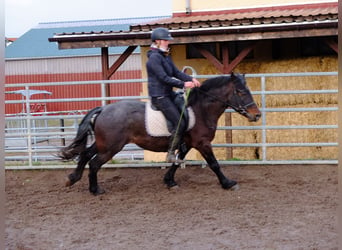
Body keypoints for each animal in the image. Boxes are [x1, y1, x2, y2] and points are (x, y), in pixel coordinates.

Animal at [59, 72, 262, 195]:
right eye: (240, 91)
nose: (257, 115)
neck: (200, 109)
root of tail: (103, 109)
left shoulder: (187, 143)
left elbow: (176, 161)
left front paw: (169, 181)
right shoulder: (202, 143)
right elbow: (214, 164)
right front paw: (228, 183)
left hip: (104, 144)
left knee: (85, 154)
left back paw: (72, 179)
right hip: (111, 147)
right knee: (93, 163)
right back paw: (95, 190)